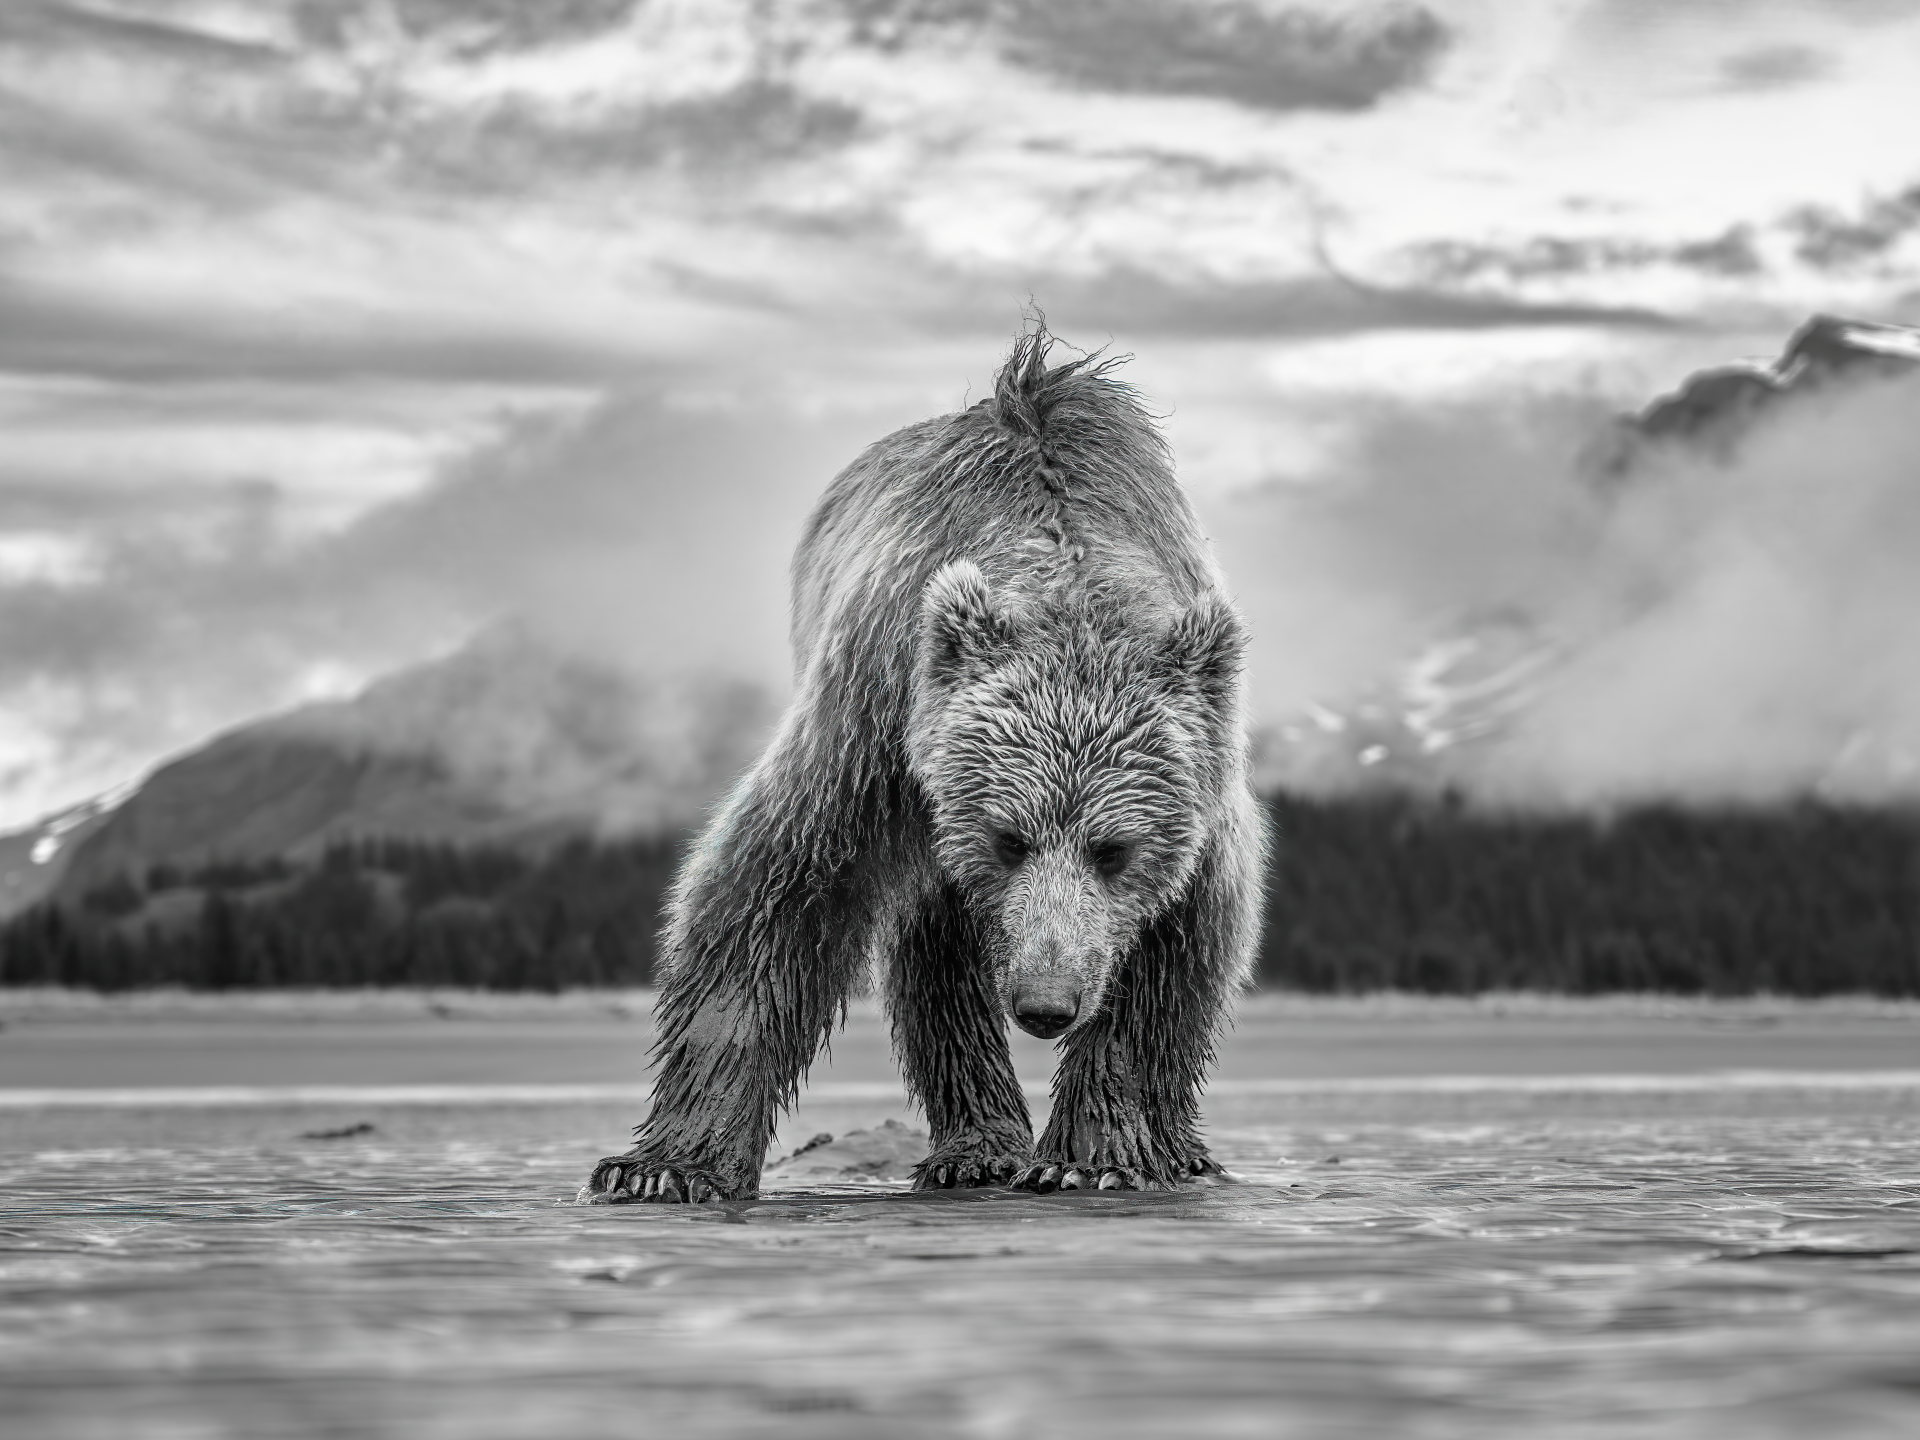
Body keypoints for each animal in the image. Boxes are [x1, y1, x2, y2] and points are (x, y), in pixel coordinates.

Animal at [586, 322, 1267, 1203]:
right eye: (1009, 839)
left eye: (1113, 849)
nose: (1046, 1004)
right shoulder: (881, 725)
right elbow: (772, 894)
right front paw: (664, 1167)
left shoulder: (1196, 795)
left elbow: (1174, 955)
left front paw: (1093, 1158)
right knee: (933, 949)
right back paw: (976, 1148)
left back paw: (1178, 1152)